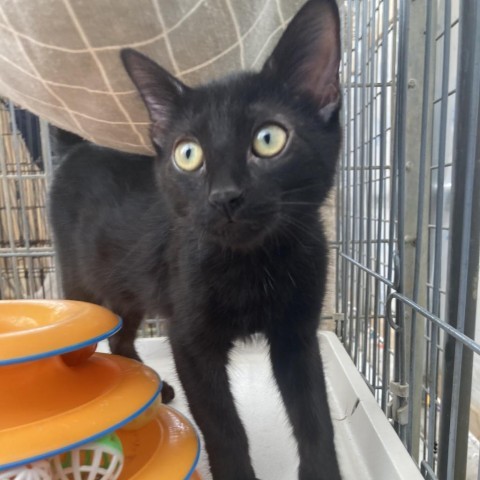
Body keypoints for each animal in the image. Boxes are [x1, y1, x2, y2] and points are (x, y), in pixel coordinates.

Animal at [49, 1, 342, 478]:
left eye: (269, 139)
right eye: (188, 154)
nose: (225, 195)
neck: (253, 264)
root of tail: (77, 148)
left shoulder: (297, 333)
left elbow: (315, 418)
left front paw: (323, 471)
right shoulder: (189, 340)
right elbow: (223, 427)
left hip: (130, 286)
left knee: (121, 334)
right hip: (83, 282)